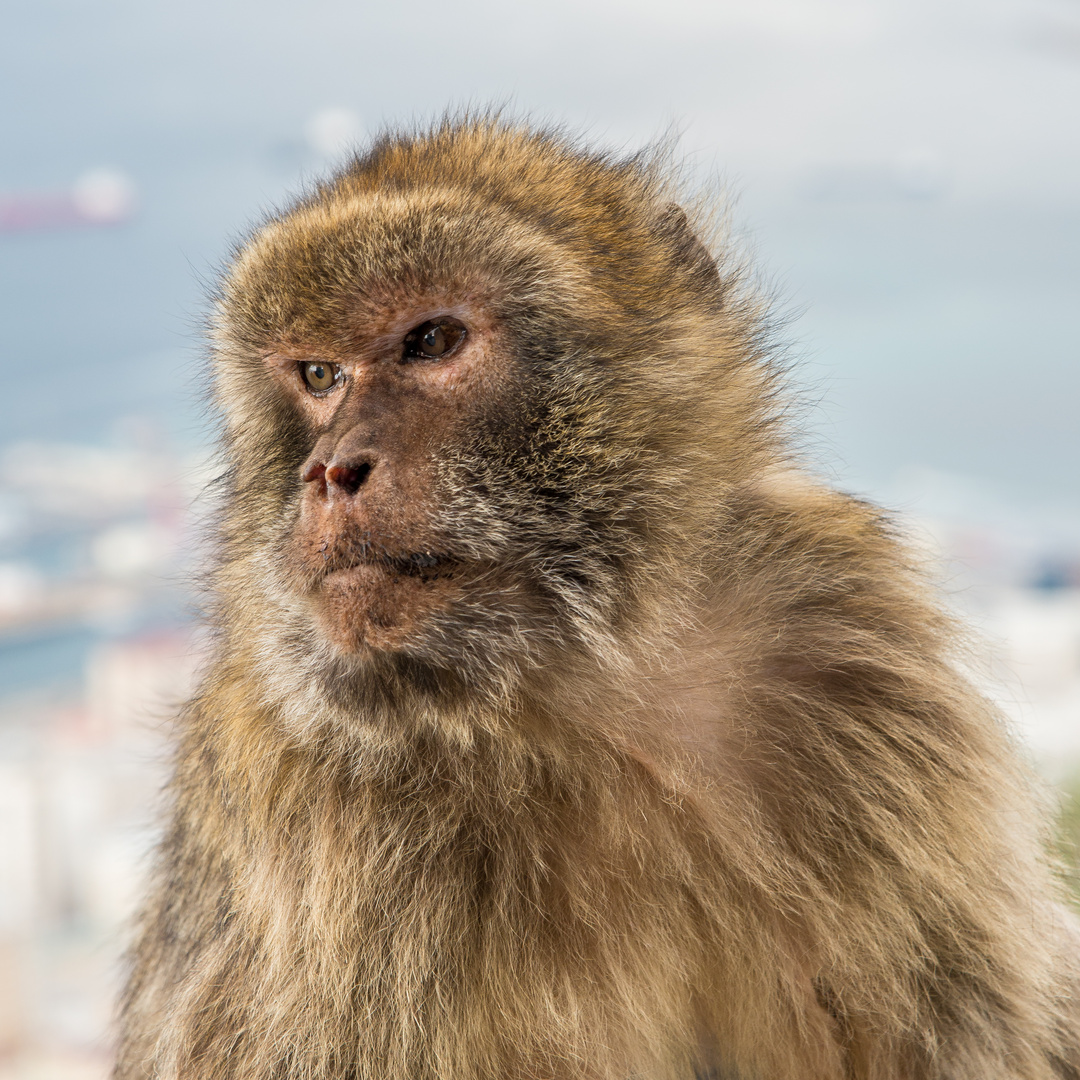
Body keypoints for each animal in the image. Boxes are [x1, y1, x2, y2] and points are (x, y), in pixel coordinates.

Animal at [113, 120, 1080, 1080]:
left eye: (432, 341)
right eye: (318, 374)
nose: (329, 471)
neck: (578, 695)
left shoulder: (859, 655)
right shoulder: (318, 837)